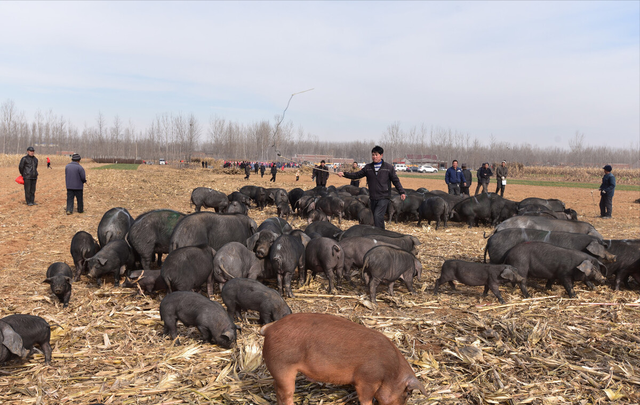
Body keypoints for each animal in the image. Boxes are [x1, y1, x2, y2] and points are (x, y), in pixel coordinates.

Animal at [260, 312, 424, 404]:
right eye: (407, 394)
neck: (390, 371)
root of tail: (270, 328)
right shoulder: (367, 379)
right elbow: (365, 398)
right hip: (282, 366)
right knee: (285, 393)